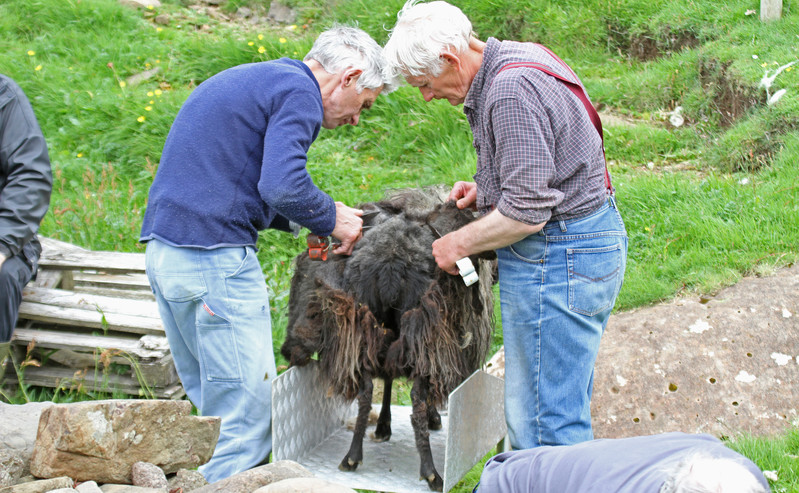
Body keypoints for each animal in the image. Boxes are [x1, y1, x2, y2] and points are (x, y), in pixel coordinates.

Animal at [280, 186, 494, 490]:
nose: (288, 352)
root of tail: (392, 263)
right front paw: (428, 420)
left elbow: (389, 377)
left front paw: (383, 426)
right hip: (417, 325)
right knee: (416, 397)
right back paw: (431, 471)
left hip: (368, 324)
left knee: (366, 390)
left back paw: (352, 457)